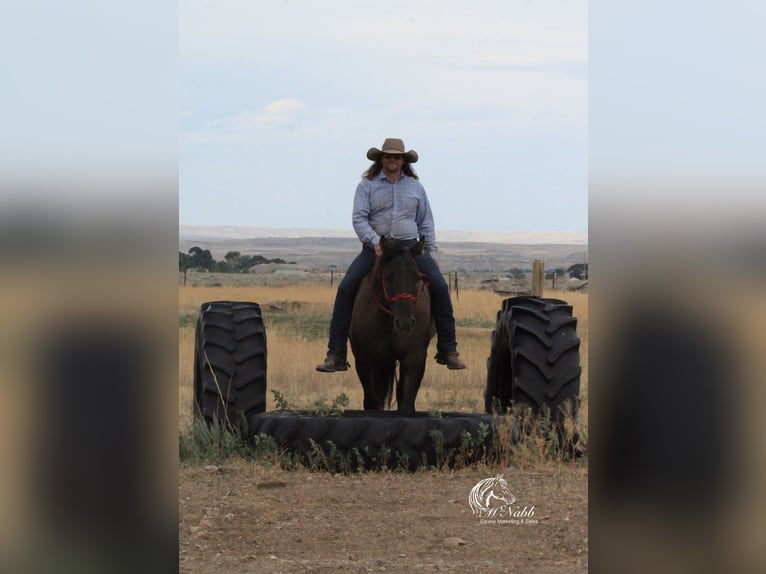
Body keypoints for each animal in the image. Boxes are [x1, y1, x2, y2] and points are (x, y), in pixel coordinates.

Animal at [350, 236, 436, 416]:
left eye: (417, 278)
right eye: (388, 278)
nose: (404, 323)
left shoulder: (415, 357)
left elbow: (406, 404)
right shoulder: (364, 359)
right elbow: (372, 403)